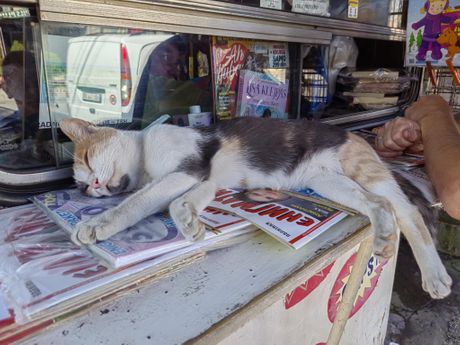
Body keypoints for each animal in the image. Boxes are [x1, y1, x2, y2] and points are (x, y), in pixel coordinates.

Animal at [60, 116, 452, 298]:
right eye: (82, 187)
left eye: (88, 157)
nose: (94, 187)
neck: (144, 164)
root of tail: (356, 135)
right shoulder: (204, 179)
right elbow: (179, 202)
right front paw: (190, 222)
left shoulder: (189, 167)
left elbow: (137, 202)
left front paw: (96, 225)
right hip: (329, 182)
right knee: (379, 203)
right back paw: (384, 238)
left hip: (361, 168)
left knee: (408, 212)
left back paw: (433, 275)